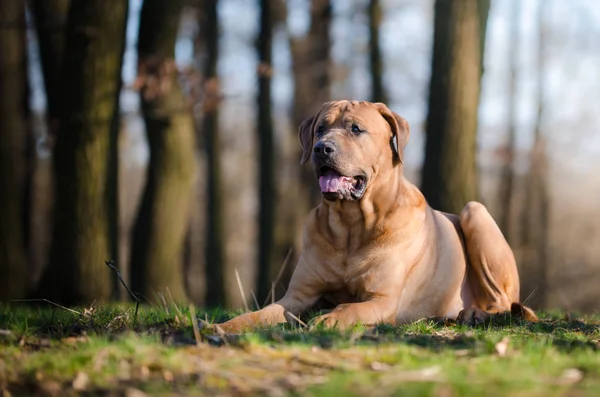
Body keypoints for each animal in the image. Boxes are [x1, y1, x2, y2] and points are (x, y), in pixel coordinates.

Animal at [218, 100, 536, 332]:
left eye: (356, 129)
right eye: (320, 128)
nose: (322, 148)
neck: (350, 227)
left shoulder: (383, 299)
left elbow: (351, 307)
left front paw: (330, 318)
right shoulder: (297, 297)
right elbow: (264, 311)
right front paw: (227, 325)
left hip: (475, 212)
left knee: (504, 302)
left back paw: (475, 314)